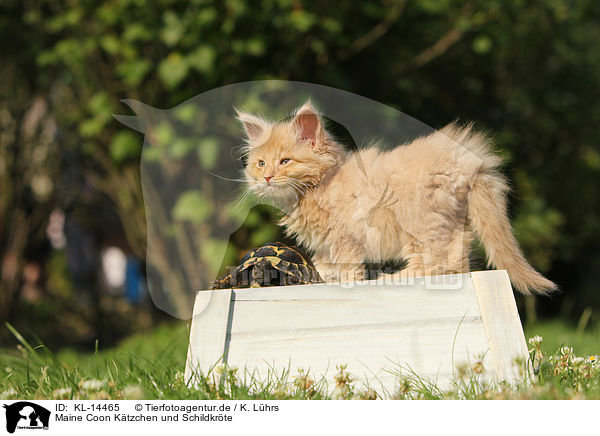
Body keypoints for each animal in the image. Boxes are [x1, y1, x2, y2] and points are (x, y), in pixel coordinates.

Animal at [237, 100, 556, 294]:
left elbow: (348, 269)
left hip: (418, 220)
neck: (319, 185)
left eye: (285, 161)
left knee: (436, 264)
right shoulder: (326, 245)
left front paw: (349, 284)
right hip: (451, 223)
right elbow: (322, 267)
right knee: (454, 263)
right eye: (261, 163)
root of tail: (469, 161)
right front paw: (318, 280)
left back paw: (392, 278)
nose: (266, 178)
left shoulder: (344, 238)